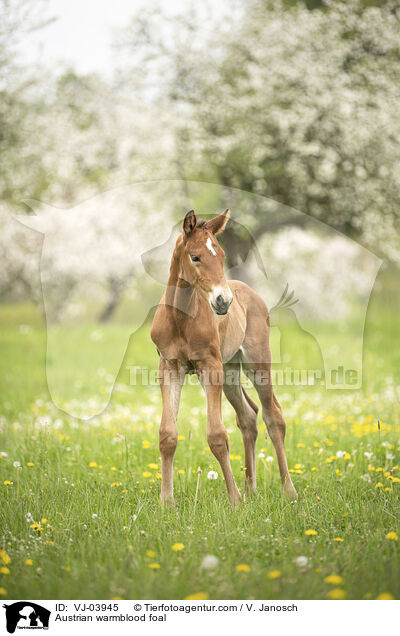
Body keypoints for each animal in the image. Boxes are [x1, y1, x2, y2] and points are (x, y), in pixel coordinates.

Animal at [150, 210, 296, 506]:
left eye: (221, 255)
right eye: (195, 257)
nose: (223, 301)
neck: (180, 318)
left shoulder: (210, 366)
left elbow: (217, 435)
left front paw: (234, 500)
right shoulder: (169, 366)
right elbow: (167, 434)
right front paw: (166, 502)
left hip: (256, 363)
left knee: (273, 416)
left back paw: (288, 491)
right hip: (230, 371)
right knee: (248, 416)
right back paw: (251, 489)